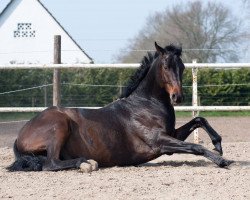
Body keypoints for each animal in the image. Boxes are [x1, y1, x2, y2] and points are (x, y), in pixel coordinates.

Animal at [7, 42, 232, 172]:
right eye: (166, 66)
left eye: (183, 67)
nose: (178, 97)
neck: (144, 105)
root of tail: (20, 135)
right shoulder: (160, 141)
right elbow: (196, 147)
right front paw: (222, 161)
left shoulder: (172, 135)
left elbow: (199, 119)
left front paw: (218, 144)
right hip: (59, 126)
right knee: (51, 163)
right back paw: (86, 163)